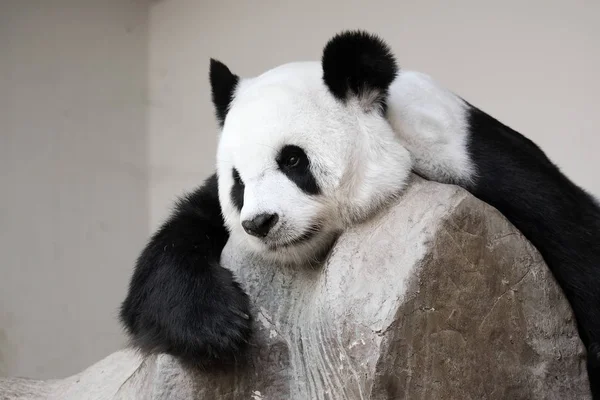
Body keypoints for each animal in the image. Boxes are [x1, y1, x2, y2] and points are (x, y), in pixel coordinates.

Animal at [120, 29, 600, 396]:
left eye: (291, 159)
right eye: (238, 181)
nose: (260, 223)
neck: (391, 129)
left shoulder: (475, 159)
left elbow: (576, 240)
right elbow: (175, 245)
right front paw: (216, 327)